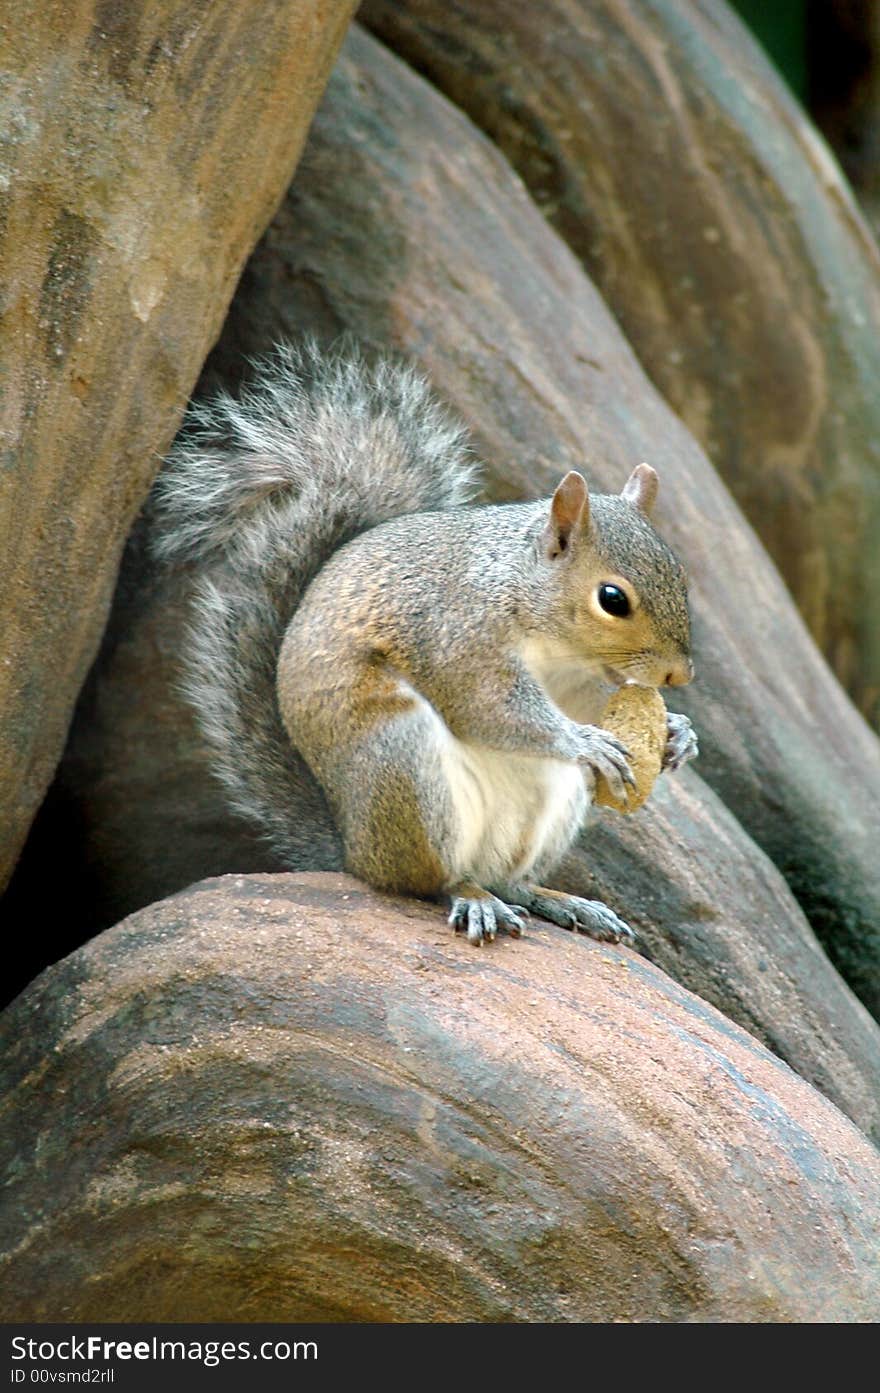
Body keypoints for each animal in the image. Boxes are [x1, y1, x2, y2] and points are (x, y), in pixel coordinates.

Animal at [153, 341, 701, 947]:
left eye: (680, 574)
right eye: (612, 598)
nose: (680, 675)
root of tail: (353, 850)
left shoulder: (578, 678)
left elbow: (583, 704)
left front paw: (678, 734)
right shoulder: (456, 638)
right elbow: (492, 709)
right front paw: (586, 741)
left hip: (552, 804)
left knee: (509, 881)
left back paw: (560, 900)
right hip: (403, 761)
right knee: (430, 880)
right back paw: (472, 898)